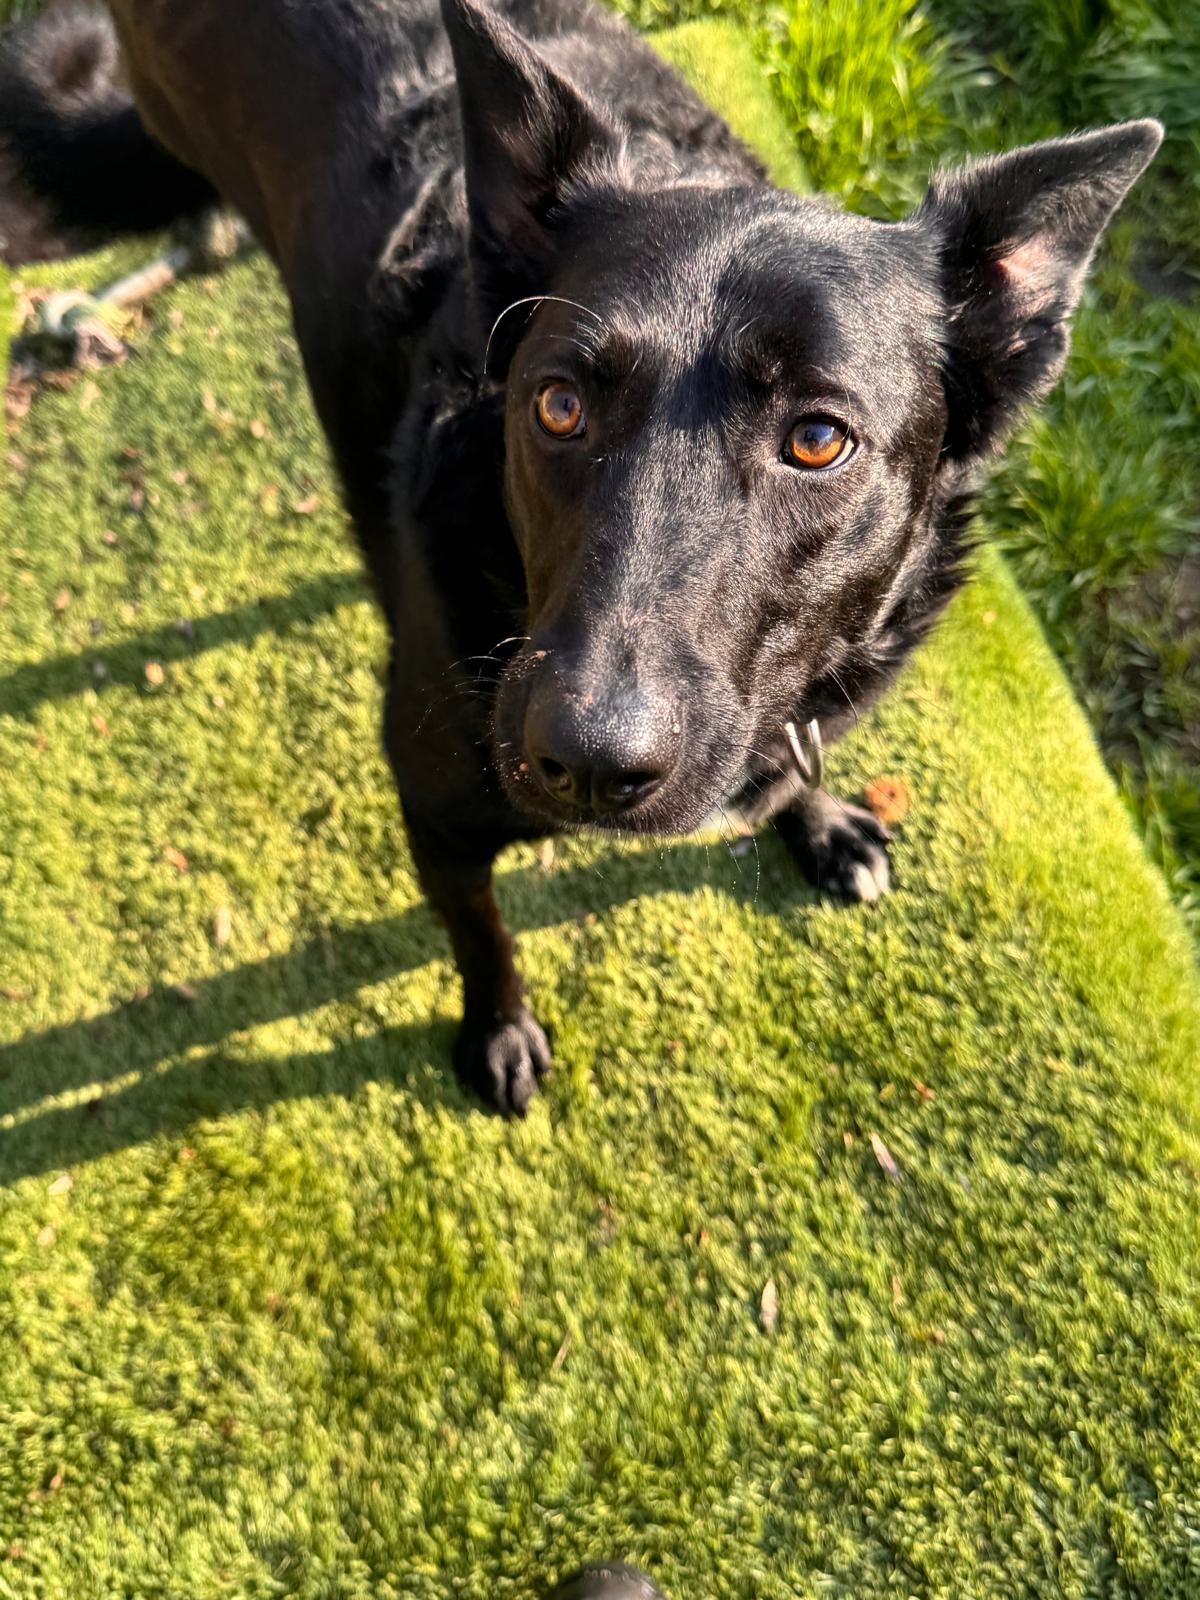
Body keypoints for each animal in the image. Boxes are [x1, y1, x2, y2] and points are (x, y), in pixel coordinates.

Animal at [0, 0, 1160, 1112]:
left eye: (819, 439)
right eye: (557, 405)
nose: (590, 764)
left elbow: (795, 764)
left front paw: (823, 819)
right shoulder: (435, 811)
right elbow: (482, 935)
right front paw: (499, 1031)